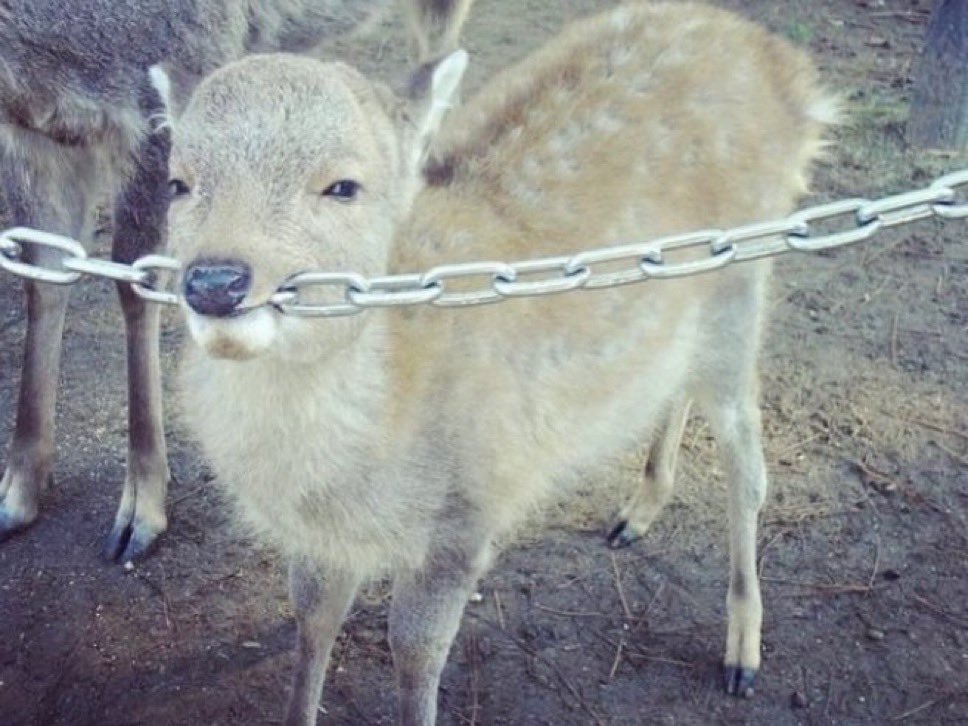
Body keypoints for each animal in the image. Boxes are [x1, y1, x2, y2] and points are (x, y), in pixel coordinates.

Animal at [0, 0, 475, 563]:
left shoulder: (168, 79)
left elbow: (137, 280)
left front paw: (140, 510)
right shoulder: (32, 133)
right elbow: (44, 271)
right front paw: (17, 491)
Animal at [158, 2, 837, 722]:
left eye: (343, 185)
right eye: (178, 182)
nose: (216, 281)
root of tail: (790, 71)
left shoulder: (466, 514)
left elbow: (415, 652)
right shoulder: (319, 540)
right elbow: (312, 621)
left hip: (746, 279)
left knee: (747, 456)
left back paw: (742, 651)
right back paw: (638, 512)